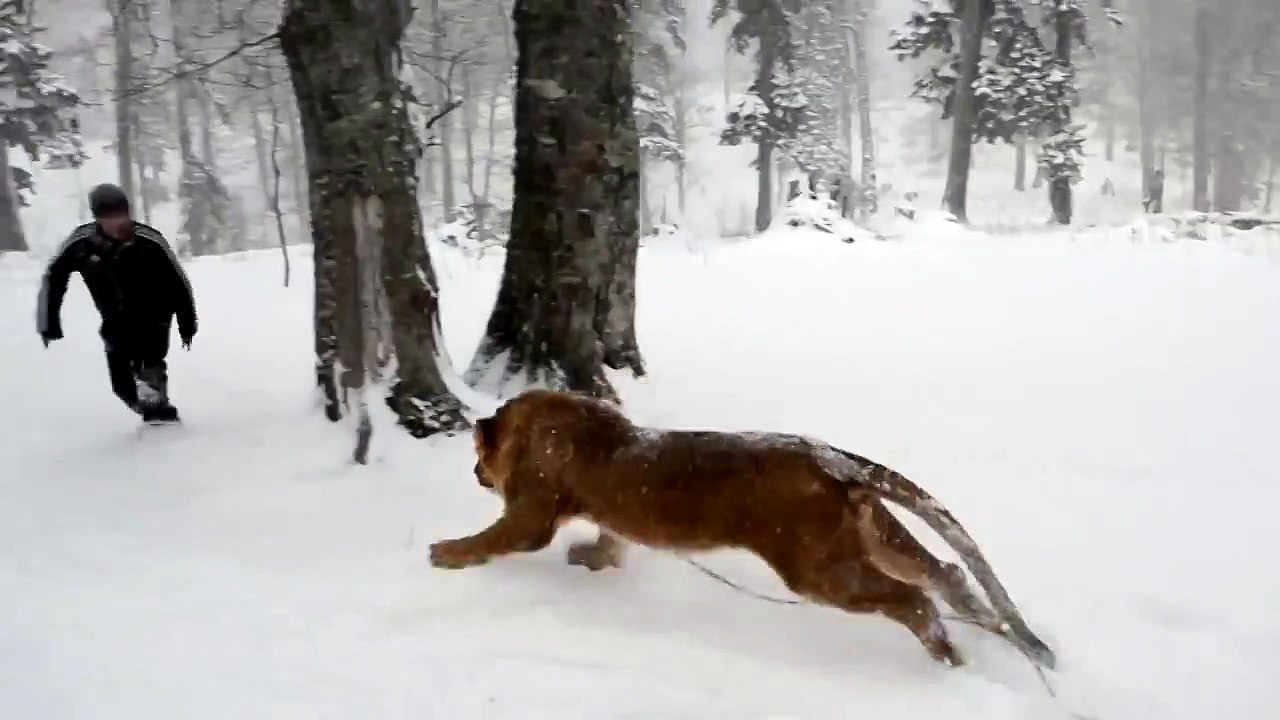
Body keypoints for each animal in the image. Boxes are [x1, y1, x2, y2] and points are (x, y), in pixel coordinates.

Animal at [429, 389, 1056, 670]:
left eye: (479, 457)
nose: (475, 472)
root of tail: (831, 458)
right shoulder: (605, 514)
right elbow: (612, 539)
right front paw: (592, 558)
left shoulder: (529, 515)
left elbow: (490, 539)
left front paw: (443, 552)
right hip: (870, 533)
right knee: (945, 570)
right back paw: (1004, 635)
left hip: (817, 567)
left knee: (914, 600)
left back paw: (946, 652)